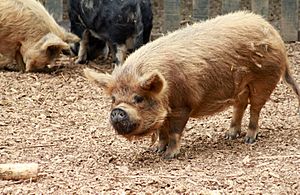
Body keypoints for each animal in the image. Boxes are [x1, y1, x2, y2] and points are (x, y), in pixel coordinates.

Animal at [82, 11, 300, 158]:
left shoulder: (182, 106)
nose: (118, 111)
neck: (166, 92)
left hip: (264, 80)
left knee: (255, 108)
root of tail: (275, 33)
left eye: (138, 98)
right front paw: (155, 150)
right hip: (240, 87)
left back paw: (249, 138)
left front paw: (169, 156)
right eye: (113, 99)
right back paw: (229, 135)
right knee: (240, 105)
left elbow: (174, 132)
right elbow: (162, 131)